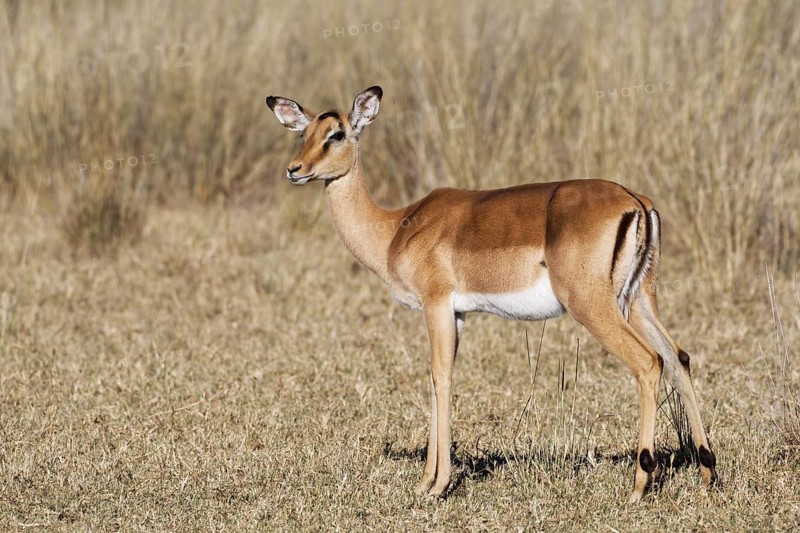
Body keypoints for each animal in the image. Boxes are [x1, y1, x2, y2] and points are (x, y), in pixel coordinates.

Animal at [265, 86, 718, 501]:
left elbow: (441, 376)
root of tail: (635, 201)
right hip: (639, 300)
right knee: (678, 357)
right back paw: (708, 472)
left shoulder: (436, 304)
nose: (294, 169)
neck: (396, 228)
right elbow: (435, 379)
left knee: (649, 362)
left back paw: (639, 486)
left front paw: (437, 486)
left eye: (337, 134)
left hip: (593, 305)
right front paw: (425, 481)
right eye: (303, 132)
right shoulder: (457, 313)